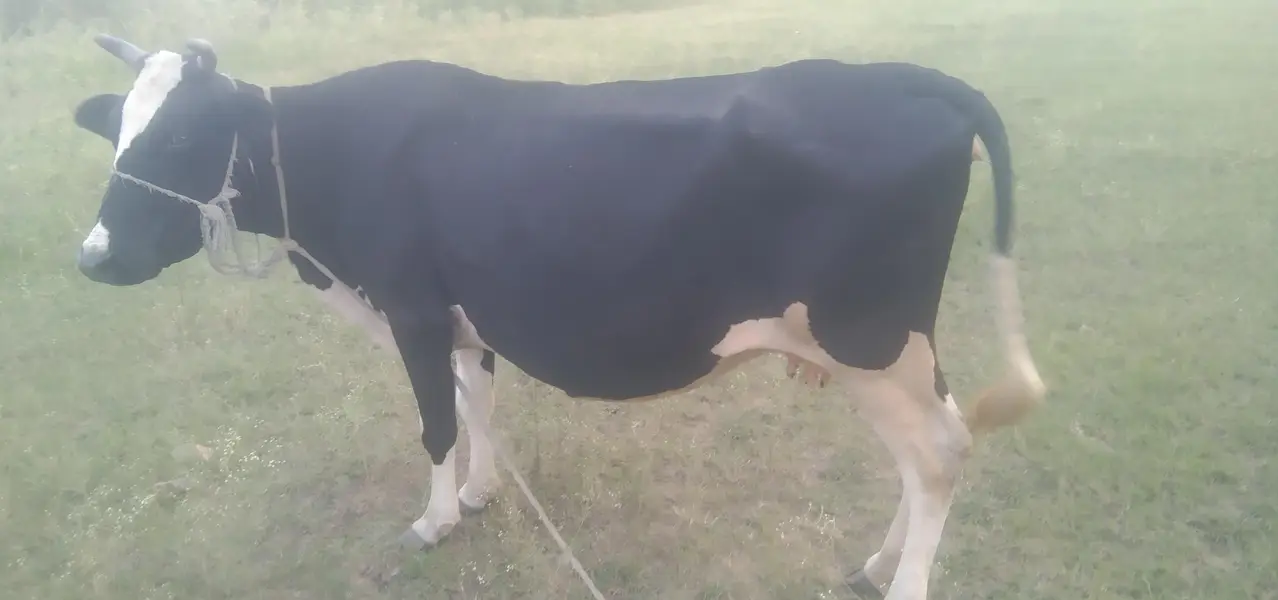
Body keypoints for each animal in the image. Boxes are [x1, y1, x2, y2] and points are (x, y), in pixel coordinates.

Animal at [69, 34, 1046, 600]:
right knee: (940, 442)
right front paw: (479, 491)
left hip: (869, 339)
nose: (93, 257)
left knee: (938, 454)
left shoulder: (412, 309)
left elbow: (433, 422)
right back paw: (877, 565)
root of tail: (911, 79)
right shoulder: (464, 314)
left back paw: (900, 582)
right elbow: (476, 402)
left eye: (179, 139)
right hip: (890, 351)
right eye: (117, 135)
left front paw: (436, 520)